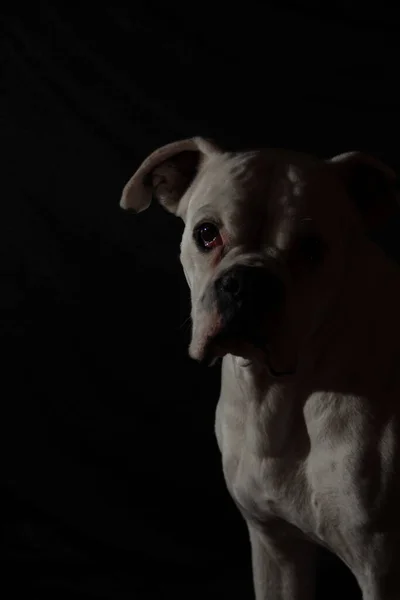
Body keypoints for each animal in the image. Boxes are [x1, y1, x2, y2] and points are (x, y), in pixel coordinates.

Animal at [120, 138, 400, 596]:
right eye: (206, 233)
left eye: (312, 248)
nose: (249, 281)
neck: (279, 391)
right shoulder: (275, 549)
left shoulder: (381, 568)